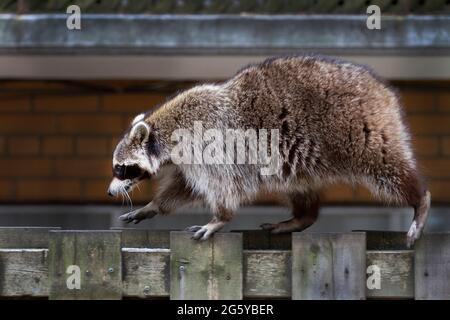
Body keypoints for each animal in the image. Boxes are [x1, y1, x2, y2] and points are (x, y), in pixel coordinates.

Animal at [107, 55, 430, 246]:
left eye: (120, 168)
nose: (110, 192)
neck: (164, 130)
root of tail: (383, 91)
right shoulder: (191, 158)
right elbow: (185, 188)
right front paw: (154, 206)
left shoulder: (208, 144)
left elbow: (223, 185)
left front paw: (220, 217)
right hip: (298, 159)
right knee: (299, 186)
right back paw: (302, 217)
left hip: (363, 132)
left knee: (387, 166)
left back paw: (419, 200)